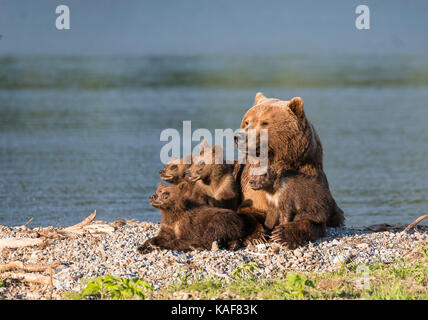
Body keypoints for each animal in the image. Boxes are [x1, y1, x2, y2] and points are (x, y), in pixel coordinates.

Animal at [234, 92, 344, 248]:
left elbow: (312, 218)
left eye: (264, 122)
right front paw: (257, 236)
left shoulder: (307, 176)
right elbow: (250, 209)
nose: (239, 137)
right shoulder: (250, 184)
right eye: (247, 122)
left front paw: (282, 234)